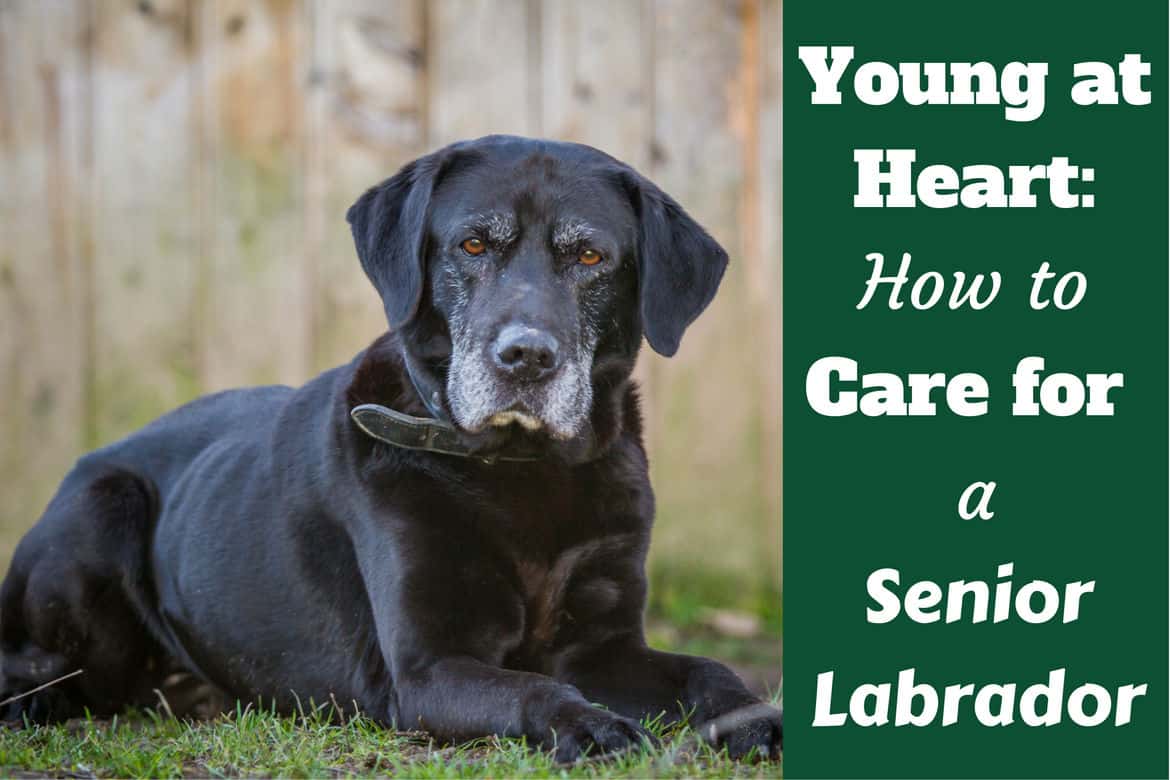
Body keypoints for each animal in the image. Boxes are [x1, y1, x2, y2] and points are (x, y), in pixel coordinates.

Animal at [2, 135, 786, 762]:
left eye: (590, 255)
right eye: (473, 245)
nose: (526, 358)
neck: (524, 471)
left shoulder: (605, 647)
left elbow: (709, 673)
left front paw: (758, 721)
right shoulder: (426, 669)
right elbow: (532, 687)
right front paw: (591, 726)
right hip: (103, 509)